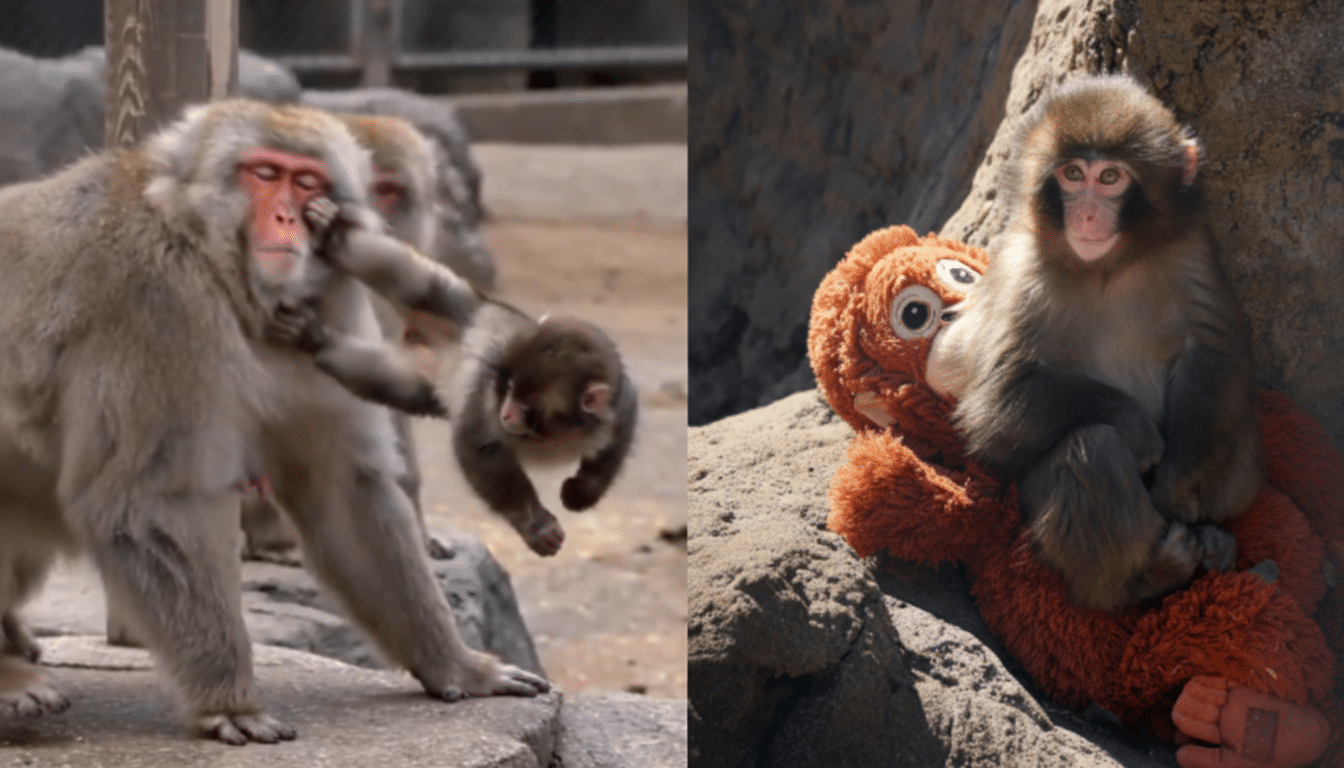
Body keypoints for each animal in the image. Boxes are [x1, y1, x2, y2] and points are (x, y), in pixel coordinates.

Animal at [0, 98, 547, 743]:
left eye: (306, 181)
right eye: (263, 173)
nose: (286, 217)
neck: (218, 266)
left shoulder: (329, 303)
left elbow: (343, 490)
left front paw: (455, 664)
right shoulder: (156, 307)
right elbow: (150, 503)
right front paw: (230, 700)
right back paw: (10, 681)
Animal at [925, 74, 1263, 613]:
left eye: (1109, 178)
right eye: (1071, 174)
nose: (1084, 215)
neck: (1110, 266)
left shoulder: (1190, 248)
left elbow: (1214, 354)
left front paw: (1176, 484)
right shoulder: (1022, 269)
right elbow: (998, 403)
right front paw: (1135, 427)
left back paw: (1213, 537)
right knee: (1093, 448)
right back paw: (1147, 576)